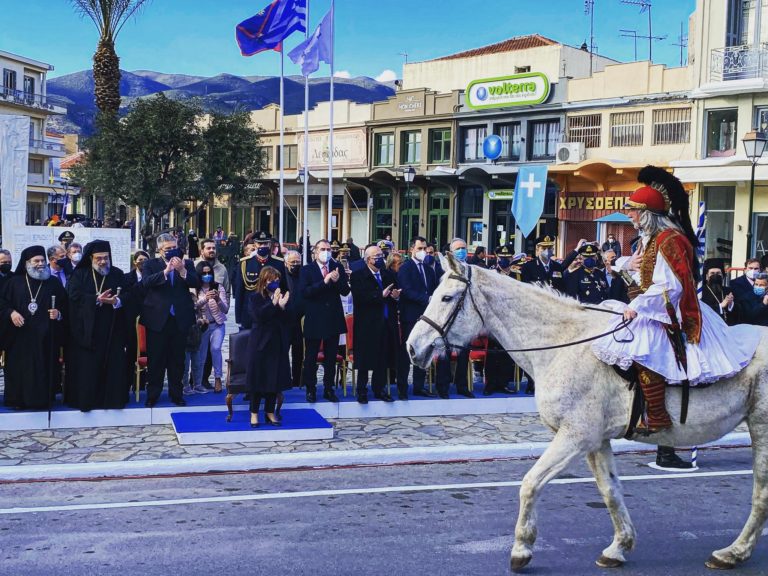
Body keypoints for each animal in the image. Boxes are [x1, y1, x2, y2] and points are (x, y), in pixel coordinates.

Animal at [408, 254, 768, 572]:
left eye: (447, 297)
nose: (413, 348)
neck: (565, 343)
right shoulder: (596, 440)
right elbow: (610, 491)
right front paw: (619, 547)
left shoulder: (576, 436)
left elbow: (530, 483)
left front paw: (522, 548)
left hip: (761, 428)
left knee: (761, 493)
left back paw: (732, 553)